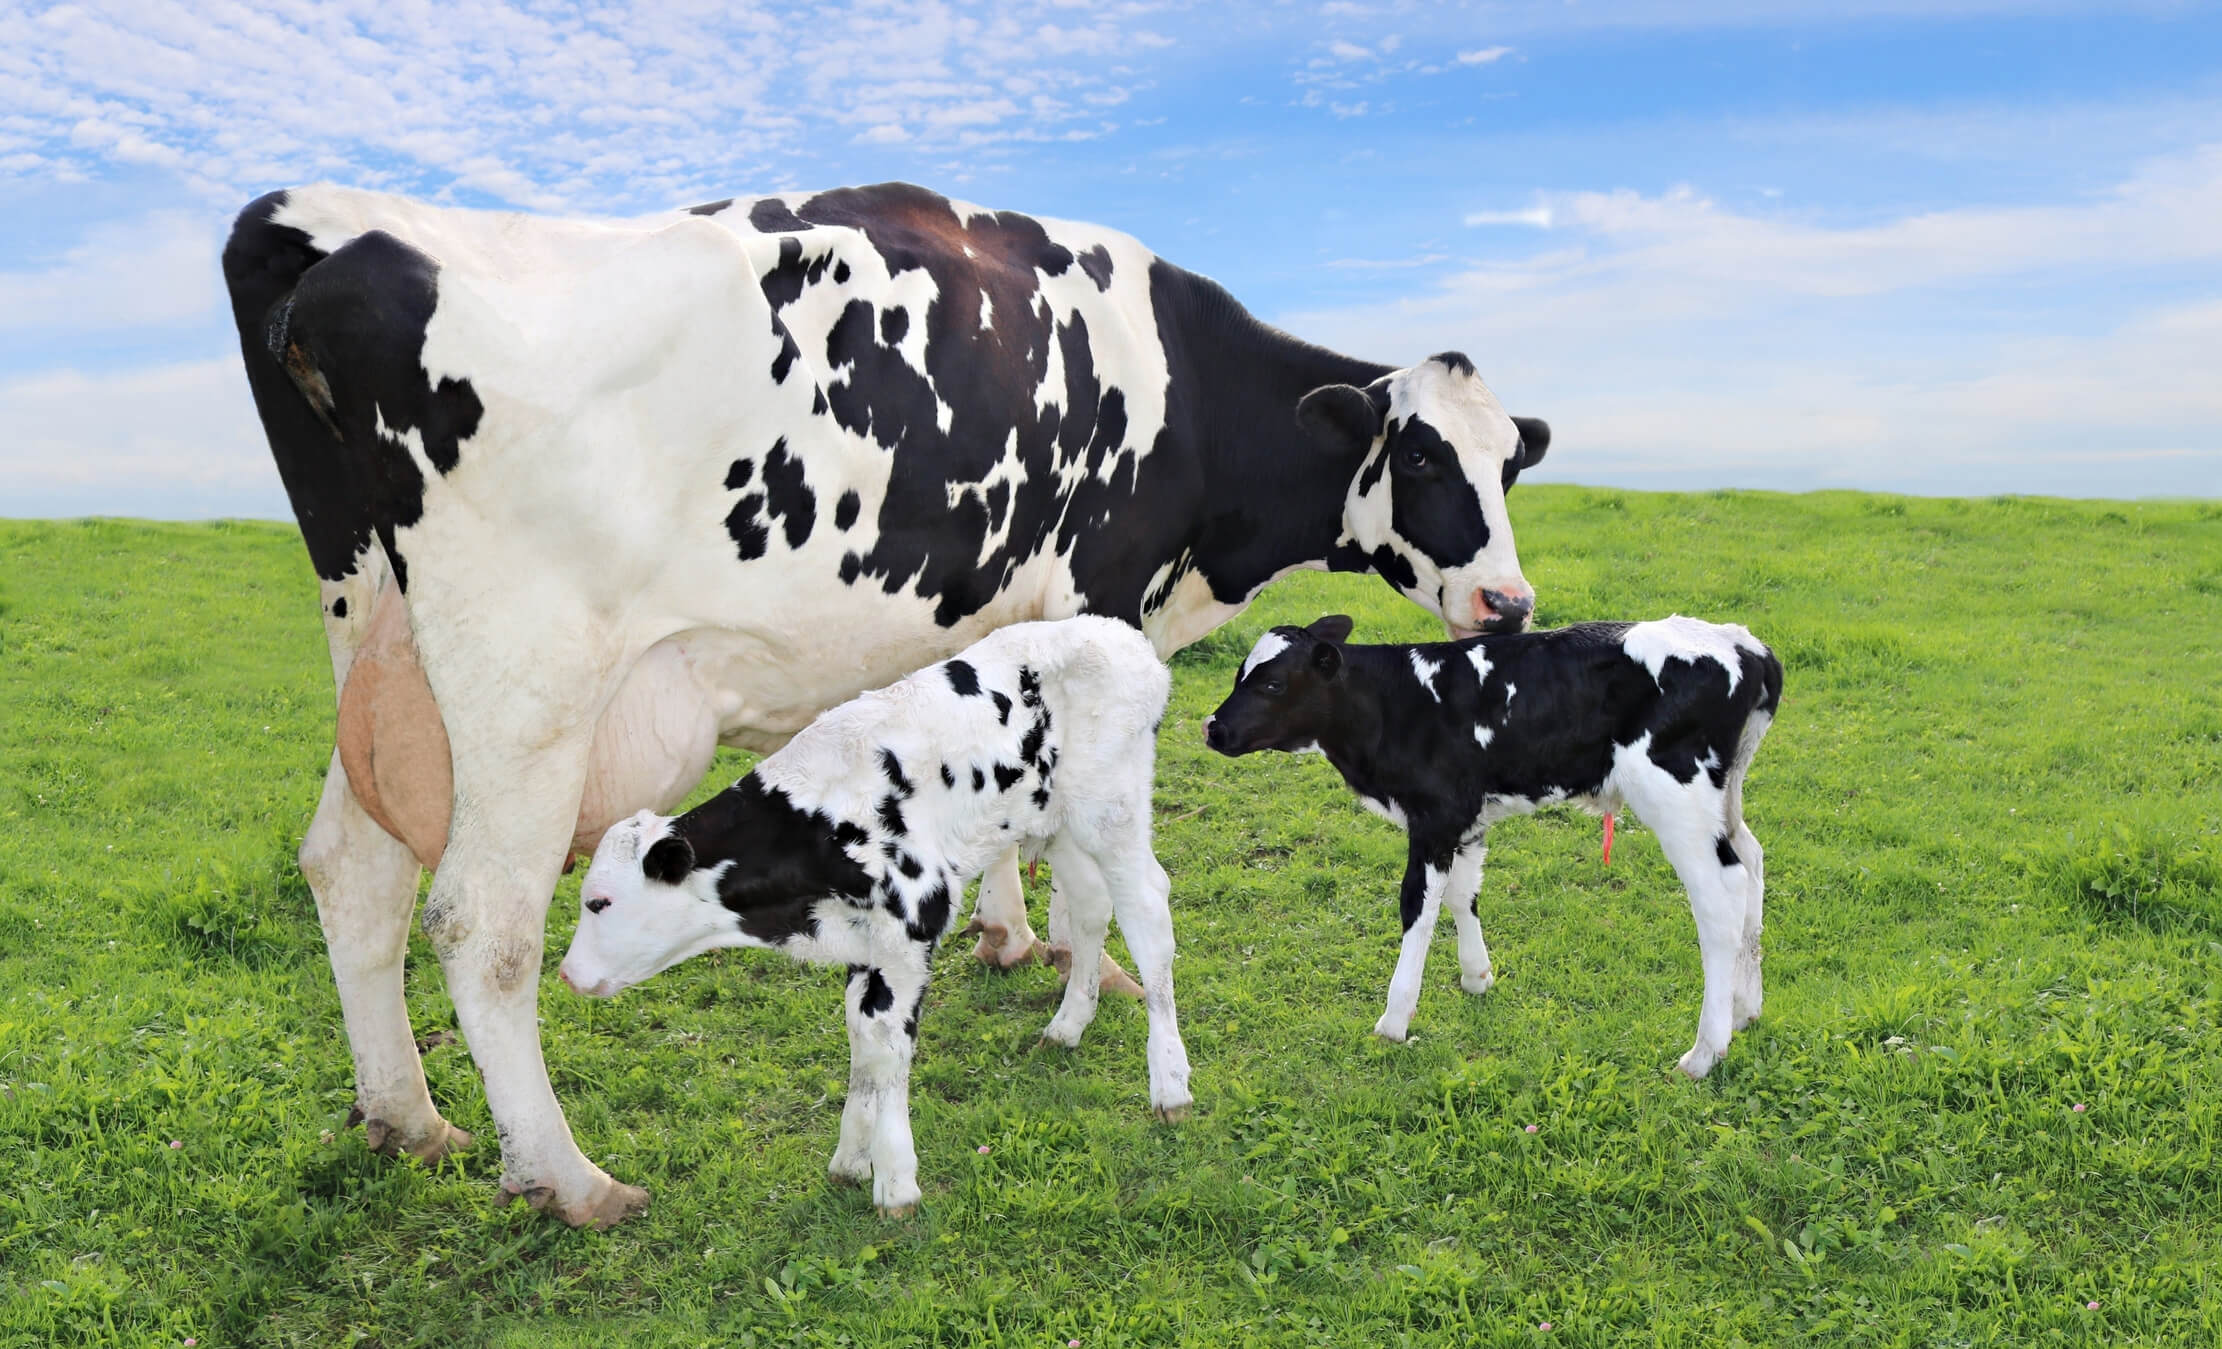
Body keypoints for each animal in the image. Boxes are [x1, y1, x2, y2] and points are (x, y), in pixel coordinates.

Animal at [555, 617, 1190, 1217]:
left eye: (599, 902)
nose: (565, 974)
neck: (815, 826)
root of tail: (1121, 636)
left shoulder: (912, 932)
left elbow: (888, 1048)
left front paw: (895, 1182)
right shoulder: (865, 945)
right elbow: (862, 1040)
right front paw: (850, 1158)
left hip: (1112, 813)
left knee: (1148, 915)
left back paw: (1170, 1085)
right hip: (1059, 825)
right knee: (1089, 907)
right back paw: (1069, 1025)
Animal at [1208, 617, 1777, 1080]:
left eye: (1273, 683)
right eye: (1239, 674)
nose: (1212, 728)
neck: (1398, 703)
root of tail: (1742, 643)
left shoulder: (1433, 818)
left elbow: (1417, 907)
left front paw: (1394, 1020)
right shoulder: (1465, 817)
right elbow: (1463, 895)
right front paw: (1476, 976)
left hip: (1676, 796)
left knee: (1720, 897)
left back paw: (1704, 1052)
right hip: (1723, 794)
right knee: (1750, 860)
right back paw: (1745, 1009)